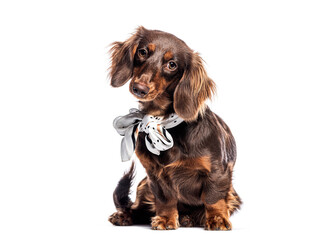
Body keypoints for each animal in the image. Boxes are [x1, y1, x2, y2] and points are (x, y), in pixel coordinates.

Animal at [107, 26, 241, 231]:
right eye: (143, 52)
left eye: (172, 64)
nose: (140, 88)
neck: (162, 123)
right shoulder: (154, 175)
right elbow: (165, 199)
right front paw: (165, 219)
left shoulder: (218, 171)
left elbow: (213, 197)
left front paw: (217, 219)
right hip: (144, 186)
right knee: (139, 209)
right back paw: (126, 216)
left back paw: (188, 218)